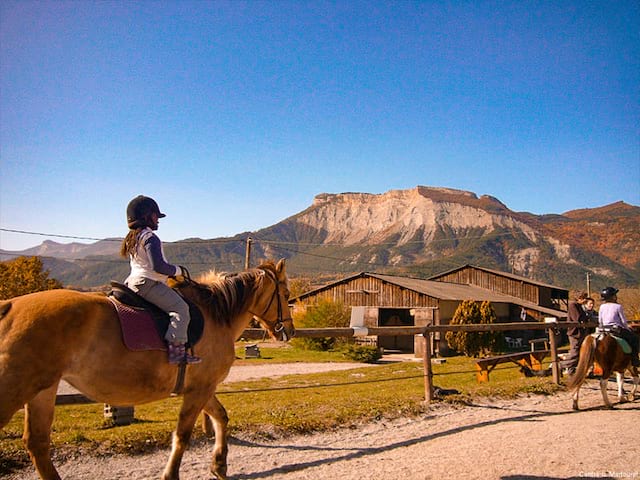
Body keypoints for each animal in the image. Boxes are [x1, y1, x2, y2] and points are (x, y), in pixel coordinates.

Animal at [0, 258, 296, 480]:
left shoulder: (202, 387)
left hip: (42, 391)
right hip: (16, 391)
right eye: (286, 295)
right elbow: (183, 434)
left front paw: (219, 465)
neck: (217, 314)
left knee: (37, 444)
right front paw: (172, 474)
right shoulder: (199, 390)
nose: (290, 331)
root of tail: (10, 306)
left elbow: (220, 417)